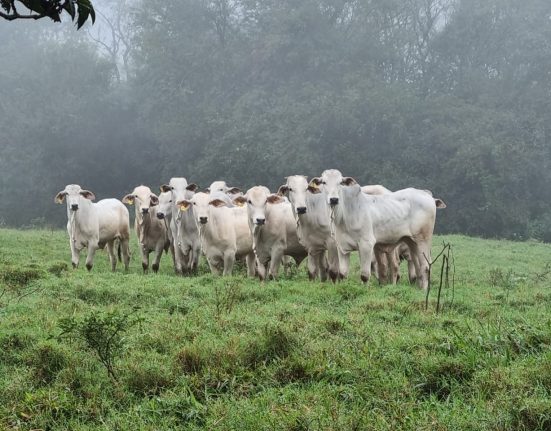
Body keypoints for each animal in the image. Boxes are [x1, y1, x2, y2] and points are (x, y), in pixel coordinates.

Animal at [310, 170, 444, 290]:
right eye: (324, 182)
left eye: (340, 183)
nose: (334, 199)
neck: (344, 215)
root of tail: (426, 196)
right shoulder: (342, 247)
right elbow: (342, 274)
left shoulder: (366, 244)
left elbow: (364, 275)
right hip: (412, 242)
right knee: (418, 266)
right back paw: (419, 289)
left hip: (423, 239)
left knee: (425, 266)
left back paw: (425, 290)